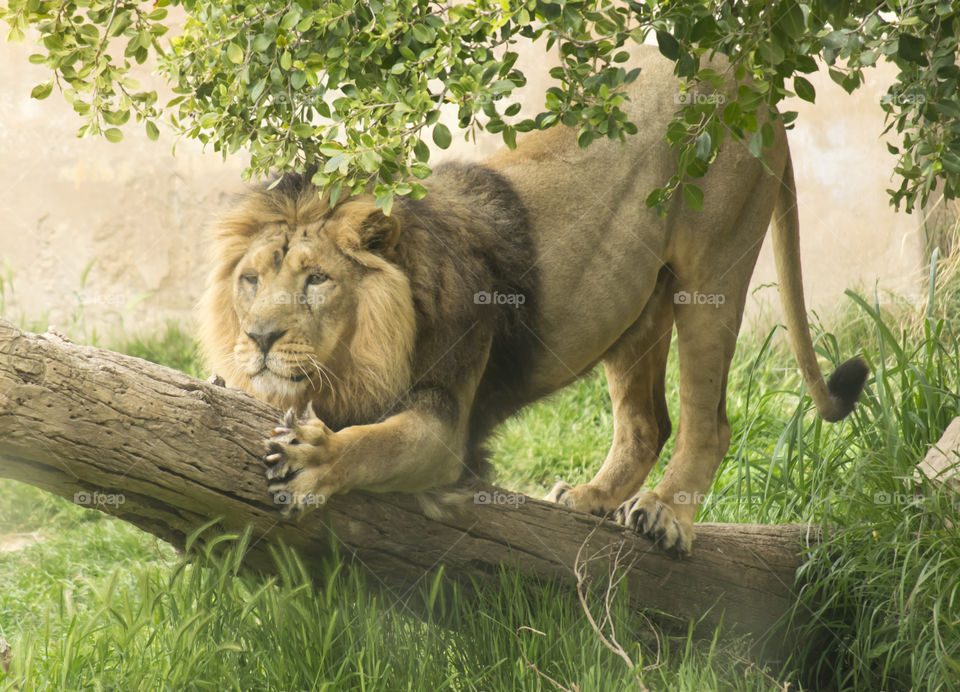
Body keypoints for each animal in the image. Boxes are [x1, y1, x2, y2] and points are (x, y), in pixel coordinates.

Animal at [198, 45, 868, 555]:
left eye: (317, 279)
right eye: (250, 281)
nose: (259, 338)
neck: (351, 361)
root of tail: (750, 77)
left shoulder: (447, 423)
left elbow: (375, 442)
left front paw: (315, 460)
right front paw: (226, 383)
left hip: (714, 270)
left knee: (709, 423)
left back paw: (665, 516)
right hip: (635, 305)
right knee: (646, 423)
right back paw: (589, 498)